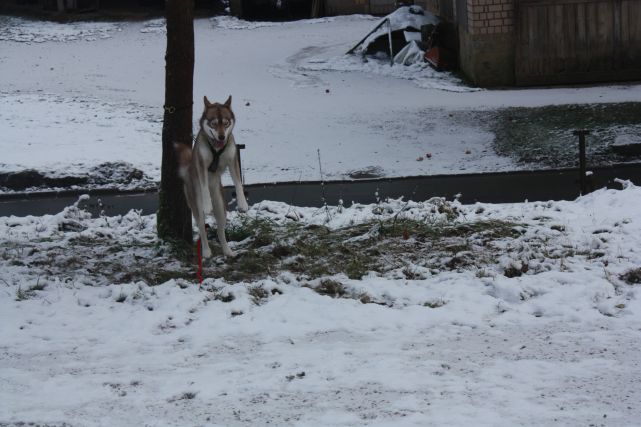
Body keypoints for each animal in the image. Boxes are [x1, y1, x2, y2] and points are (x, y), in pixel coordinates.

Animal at [176, 95, 249, 260]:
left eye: (226, 123)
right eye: (213, 123)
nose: (221, 136)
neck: (216, 148)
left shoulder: (232, 160)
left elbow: (238, 183)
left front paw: (243, 204)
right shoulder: (202, 166)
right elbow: (204, 186)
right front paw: (207, 203)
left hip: (221, 208)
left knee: (221, 232)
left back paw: (227, 251)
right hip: (196, 205)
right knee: (202, 230)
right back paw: (206, 251)